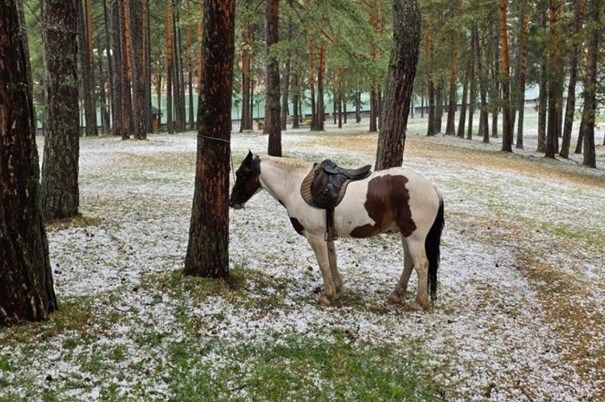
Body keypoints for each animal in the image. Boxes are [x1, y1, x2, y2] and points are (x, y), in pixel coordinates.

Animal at [228, 151, 444, 310]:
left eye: (242, 174)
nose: (232, 201)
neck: (294, 185)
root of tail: (433, 188)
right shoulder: (327, 235)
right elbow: (332, 260)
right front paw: (338, 289)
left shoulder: (315, 236)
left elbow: (323, 263)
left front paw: (327, 295)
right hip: (405, 234)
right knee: (409, 263)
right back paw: (396, 295)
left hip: (415, 236)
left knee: (421, 264)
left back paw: (419, 303)